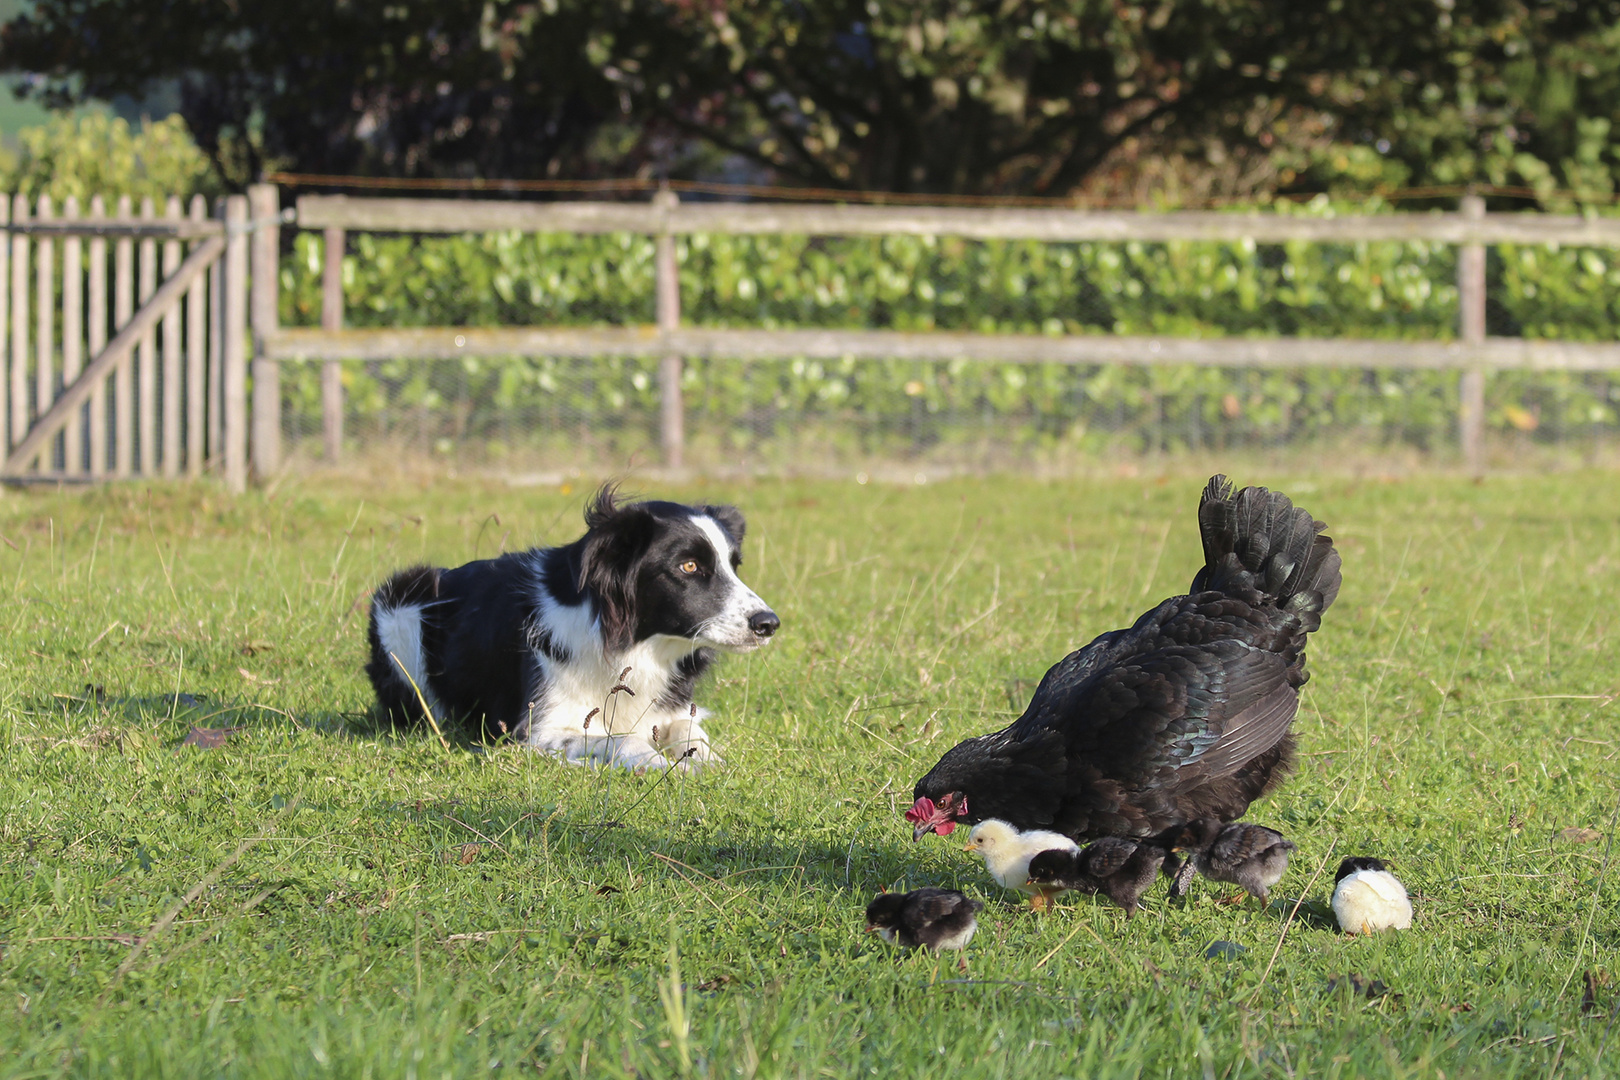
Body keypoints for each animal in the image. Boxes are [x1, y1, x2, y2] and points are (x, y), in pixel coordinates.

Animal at [366, 488, 777, 767]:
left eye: (734, 565)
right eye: (689, 566)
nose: (768, 623)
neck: (631, 643)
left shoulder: (670, 708)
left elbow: (690, 731)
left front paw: (705, 760)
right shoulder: (539, 728)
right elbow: (620, 738)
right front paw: (657, 762)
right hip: (401, 601)